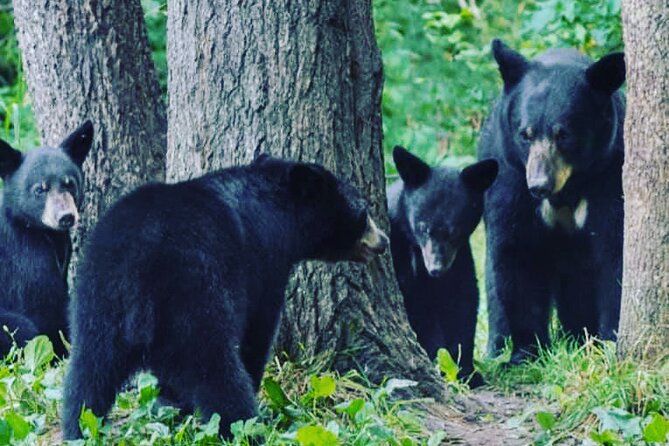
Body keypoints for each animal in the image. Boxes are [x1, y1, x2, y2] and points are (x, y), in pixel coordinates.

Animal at [62, 154, 389, 439]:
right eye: (364, 211)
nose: (383, 241)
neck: (277, 214)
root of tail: (136, 269)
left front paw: (168, 405)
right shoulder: (263, 264)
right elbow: (259, 330)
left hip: (97, 302)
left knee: (88, 373)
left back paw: (79, 427)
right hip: (193, 296)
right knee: (214, 369)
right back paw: (244, 427)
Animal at [387, 146, 498, 386]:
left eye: (455, 231)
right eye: (423, 227)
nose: (436, 269)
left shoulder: (459, 258)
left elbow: (463, 302)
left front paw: (467, 371)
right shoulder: (398, 253)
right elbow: (419, 309)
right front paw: (439, 361)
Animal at [478, 39, 625, 363]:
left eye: (563, 134)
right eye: (525, 134)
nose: (539, 185)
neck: (567, 189)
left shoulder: (609, 174)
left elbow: (614, 251)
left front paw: (610, 341)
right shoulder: (510, 177)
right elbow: (517, 254)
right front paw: (526, 352)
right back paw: (496, 348)